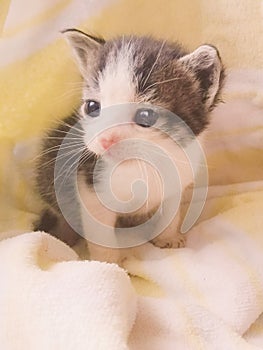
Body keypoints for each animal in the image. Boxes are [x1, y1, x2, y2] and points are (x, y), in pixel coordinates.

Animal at [34, 28, 225, 264]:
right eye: (92, 107)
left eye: (145, 116)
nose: (106, 139)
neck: (143, 163)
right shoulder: (89, 188)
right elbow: (100, 232)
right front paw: (108, 264)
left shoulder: (177, 179)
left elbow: (170, 213)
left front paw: (168, 238)